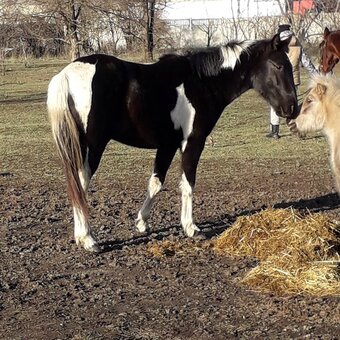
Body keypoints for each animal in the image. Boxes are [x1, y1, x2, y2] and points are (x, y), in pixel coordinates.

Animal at [47, 33, 298, 252]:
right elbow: (187, 184)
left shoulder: (166, 145)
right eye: (278, 66)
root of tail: (67, 75)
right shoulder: (192, 143)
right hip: (93, 145)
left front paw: (142, 222)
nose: (292, 108)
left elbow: (156, 183)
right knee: (80, 183)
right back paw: (87, 239)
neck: (201, 82)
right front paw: (191, 227)